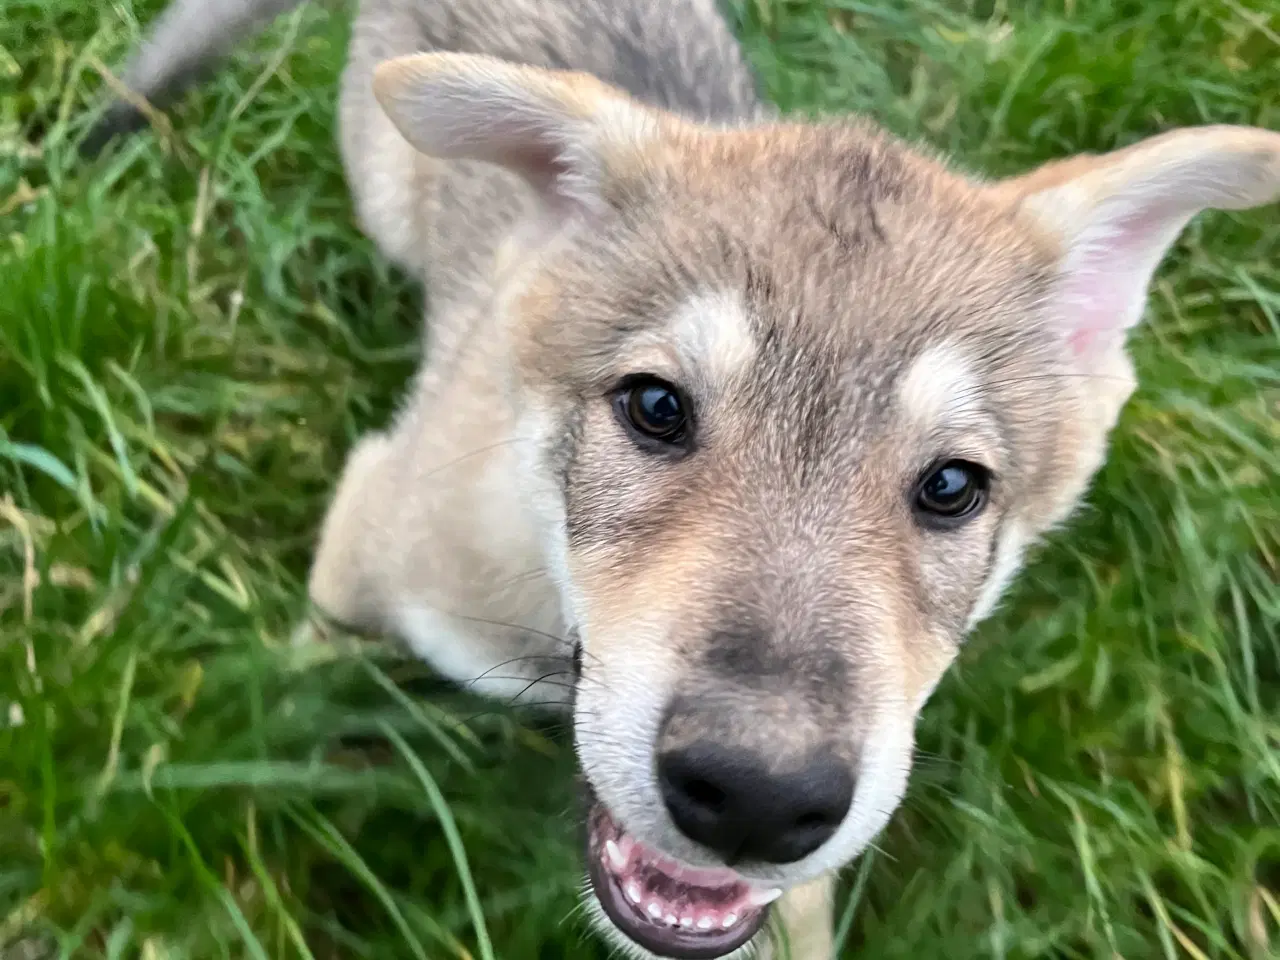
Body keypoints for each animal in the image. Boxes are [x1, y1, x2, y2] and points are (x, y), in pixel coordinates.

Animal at [94, 3, 1280, 957]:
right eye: (656, 407)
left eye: (952, 486)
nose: (757, 799)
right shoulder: (371, 523)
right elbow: (307, 664)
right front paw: (266, 745)